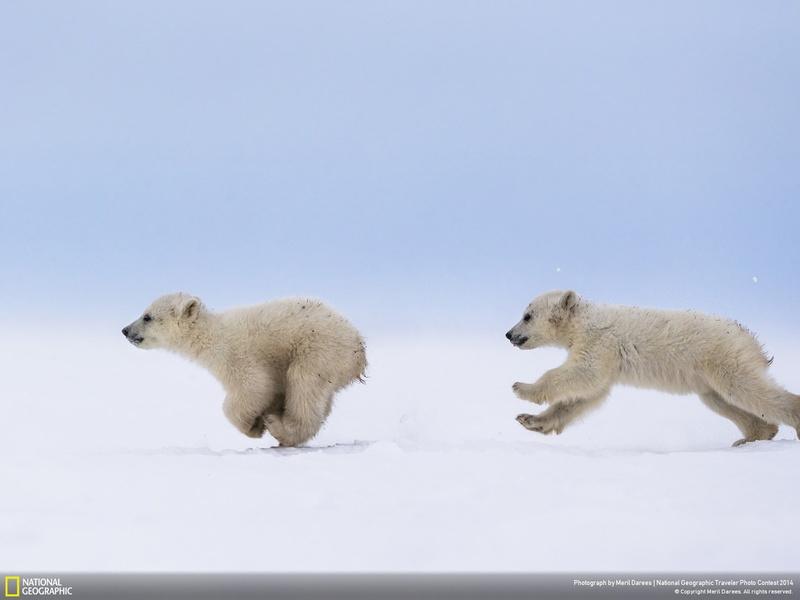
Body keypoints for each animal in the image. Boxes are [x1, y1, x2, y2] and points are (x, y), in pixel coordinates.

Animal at [122, 293, 367, 447]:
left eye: (147, 316)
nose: (125, 330)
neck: (211, 335)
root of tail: (359, 347)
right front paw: (261, 418)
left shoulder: (237, 355)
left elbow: (254, 386)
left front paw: (254, 427)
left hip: (318, 351)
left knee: (304, 386)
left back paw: (278, 427)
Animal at [506, 290, 800, 447]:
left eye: (527, 316)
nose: (509, 334)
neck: (584, 320)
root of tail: (750, 339)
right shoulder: (606, 357)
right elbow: (586, 394)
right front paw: (529, 419)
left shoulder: (600, 342)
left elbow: (584, 374)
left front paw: (522, 388)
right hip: (707, 376)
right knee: (721, 400)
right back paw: (752, 437)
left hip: (723, 357)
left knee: (746, 389)